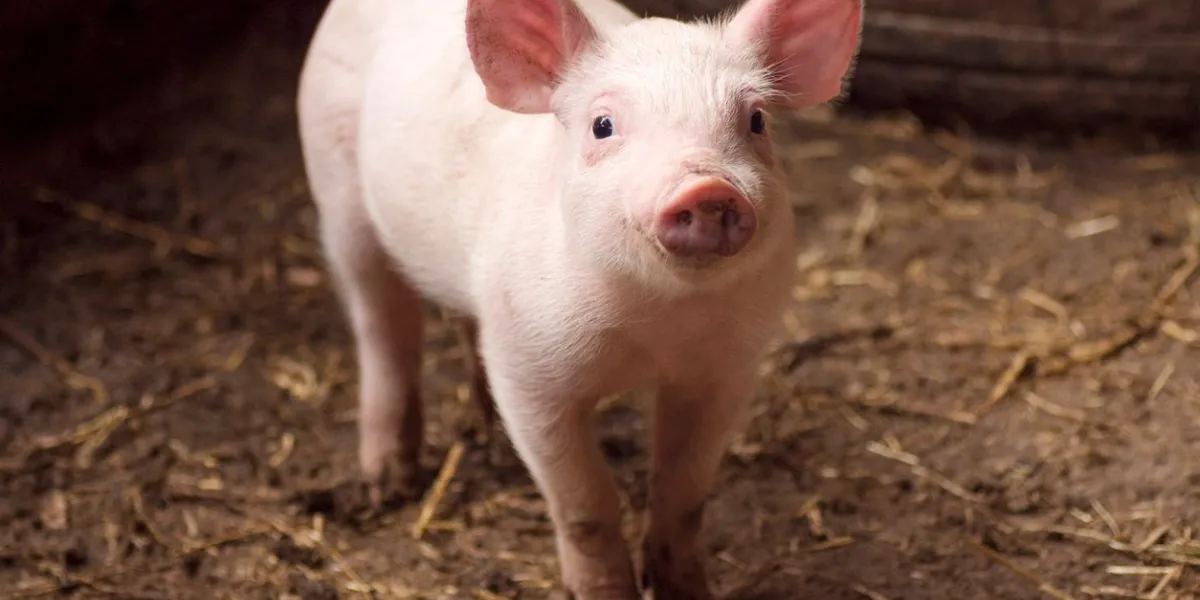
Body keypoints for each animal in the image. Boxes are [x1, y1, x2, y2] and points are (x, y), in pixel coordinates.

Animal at [296, 0, 863, 597]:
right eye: (603, 125)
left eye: (756, 120)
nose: (707, 188)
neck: (658, 326)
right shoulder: (529, 371)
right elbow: (586, 507)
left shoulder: (728, 370)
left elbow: (684, 498)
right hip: (337, 189)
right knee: (383, 327)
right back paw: (388, 484)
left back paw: (480, 429)